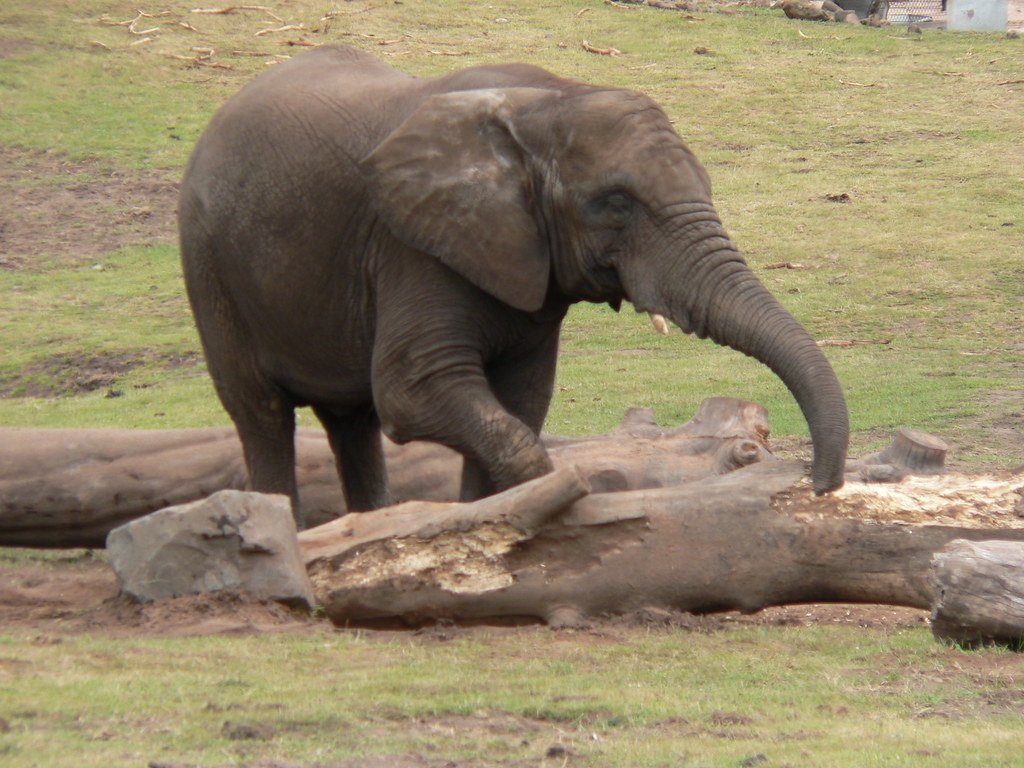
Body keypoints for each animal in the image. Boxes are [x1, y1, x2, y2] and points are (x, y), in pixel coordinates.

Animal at [179, 45, 849, 527]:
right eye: (615, 204)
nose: (818, 486)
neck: (548, 102)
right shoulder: (410, 246)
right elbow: (417, 391)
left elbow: (520, 400)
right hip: (208, 261)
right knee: (262, 414)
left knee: (351, 421)